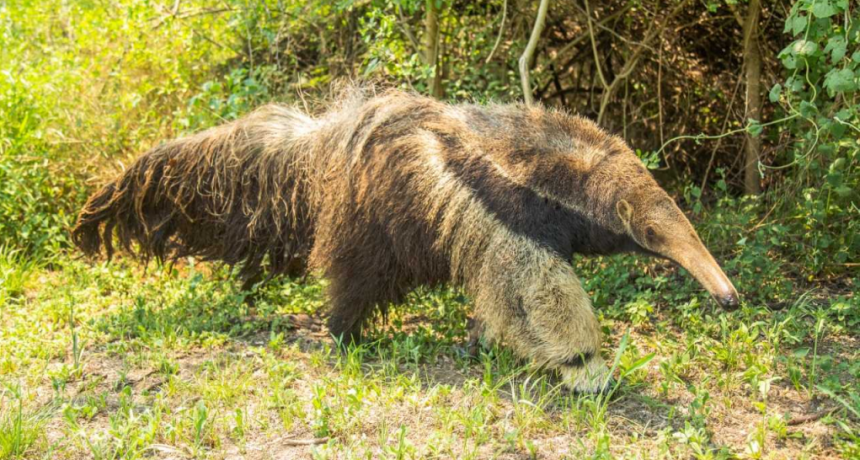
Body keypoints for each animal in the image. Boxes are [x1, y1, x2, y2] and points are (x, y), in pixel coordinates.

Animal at [73, 88, 739, 393]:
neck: (552, 167)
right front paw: (587, 368)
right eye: (652, 232)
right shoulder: (504, 211)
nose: (729, 296)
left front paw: (485, 342)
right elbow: (539, 289)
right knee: (357, 278)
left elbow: (506, 294)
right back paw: (343, 336)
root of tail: (329, 141)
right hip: (373, 218)